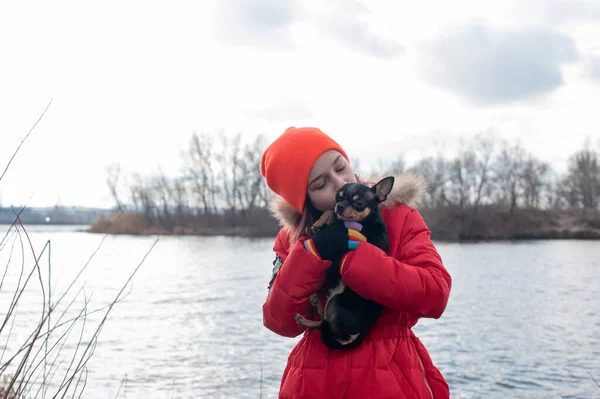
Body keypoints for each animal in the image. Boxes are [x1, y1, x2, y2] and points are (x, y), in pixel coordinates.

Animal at [294, 177, 394, 350]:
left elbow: (337, 220)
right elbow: (330, 212)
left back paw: (307, 319)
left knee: (326, 325)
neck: (364, 221)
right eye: (338, 197)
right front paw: (321, 221)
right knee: (326, 324)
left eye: (359, 203)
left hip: (336, 302)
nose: (340, 206)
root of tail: (362, 332)